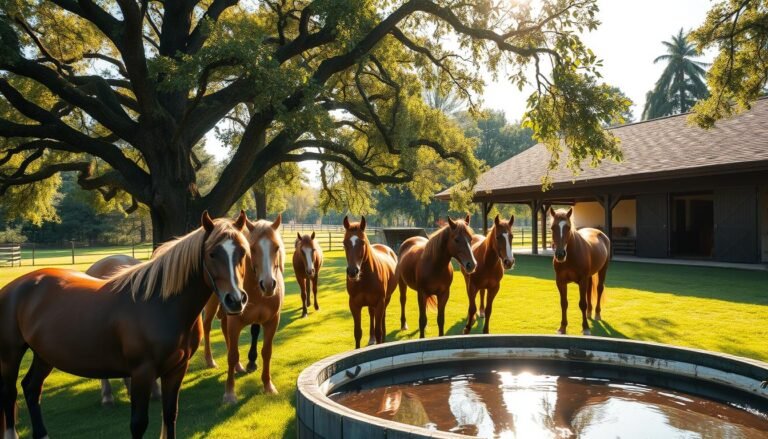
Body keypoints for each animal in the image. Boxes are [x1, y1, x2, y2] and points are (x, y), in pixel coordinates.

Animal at [201, 214, 284, 403]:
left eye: (276, 247)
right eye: (252, 249)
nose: (268, 284)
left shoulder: (272, 322)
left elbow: (266, 352)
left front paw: (268, 385)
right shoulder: (235, 321)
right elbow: (232, 355)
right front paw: (230, 393)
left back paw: (239, 367)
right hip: (212, 307)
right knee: (207, 327)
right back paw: (210, 361)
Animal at [342, 216, 398, 348]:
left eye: (362, 242)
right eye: (344, 243)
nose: (353, 272)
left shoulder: (379, 302)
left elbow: (378, 331)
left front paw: (380, 339)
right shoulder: (354, 305)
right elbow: (357, 332)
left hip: (386, 299)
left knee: (382, 317)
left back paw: (383, 338)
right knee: (372, 314)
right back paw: (371, 339)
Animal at [549, 207, 610, 335]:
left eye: (568, 227)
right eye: (552, 227)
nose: (560, 254)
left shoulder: (582, 280)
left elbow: (582, 304)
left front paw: (585, 328)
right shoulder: (560, 282)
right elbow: (564, 303)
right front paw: (562, 327)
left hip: (603, 269)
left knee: (599, 289)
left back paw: (597, 314)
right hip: (589, 277)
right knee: (589, 290)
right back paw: (589, 313)